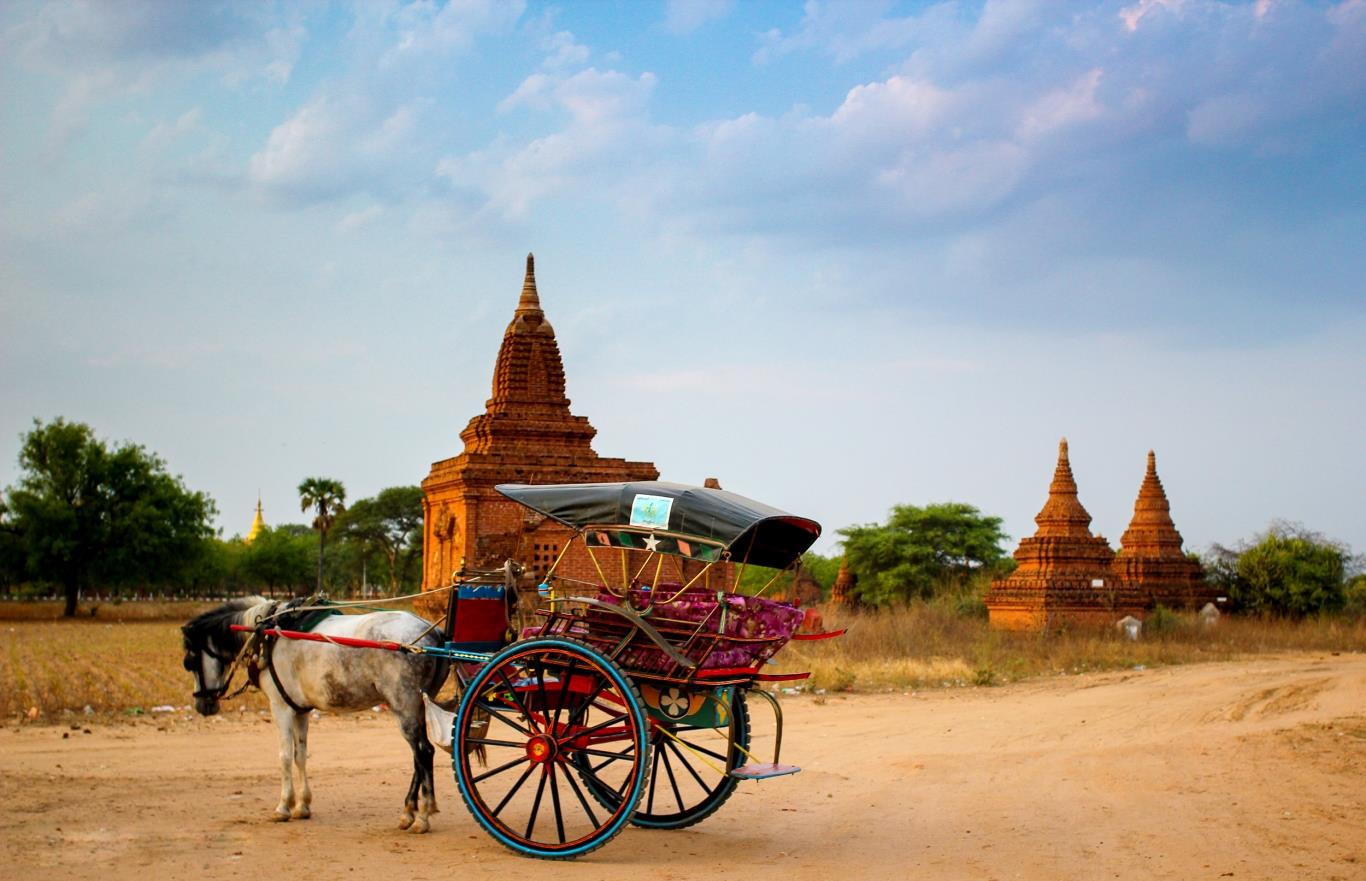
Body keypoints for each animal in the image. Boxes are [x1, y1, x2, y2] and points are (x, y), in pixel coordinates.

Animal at [178, 598, 448, 830]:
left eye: (189, 662)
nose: (203, 705)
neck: (266, 633)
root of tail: (432, 633)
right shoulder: (300, 710)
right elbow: (300, 755)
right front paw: (302, 805)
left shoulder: (280, 707)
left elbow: (285, 756)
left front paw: (283, 806)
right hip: (417, 705)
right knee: (417, 757)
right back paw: (408, 812)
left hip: (404, 704)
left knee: (423, 752)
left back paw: (423, 815)